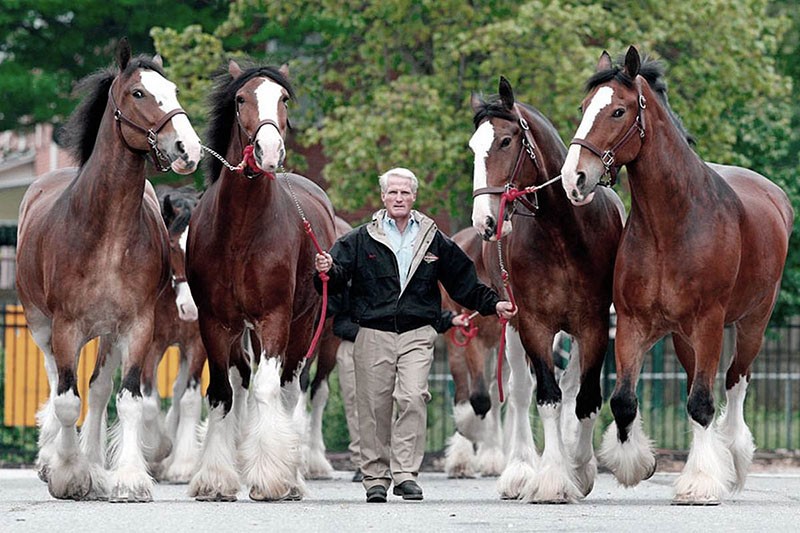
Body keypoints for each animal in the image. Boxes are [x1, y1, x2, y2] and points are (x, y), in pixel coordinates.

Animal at [15, 39, 202, 500]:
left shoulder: (136, 327)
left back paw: (96, 462)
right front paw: (67, 474)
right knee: (56, 381)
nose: (187, 149)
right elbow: (67, 401)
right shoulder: (66, 327)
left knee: (99, 392)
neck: (107, 235)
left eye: (172, 90)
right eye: (138, 93)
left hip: (107, 335)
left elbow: (128, 400)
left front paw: (129, 477)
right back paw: (55, 457)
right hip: (42, 325)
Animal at [186, 60, 336, 500]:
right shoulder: (215, 323)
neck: (240, 230)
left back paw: (293, 476)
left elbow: (268, 390)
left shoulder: (275, 318)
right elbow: (222, 393)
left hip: (304, 327)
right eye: (240, 99)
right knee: (241, 384)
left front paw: (271, 477)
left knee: (287, 389)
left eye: (283, 98)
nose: (270, 151)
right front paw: (215, 479)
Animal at [468, 77, 624, 500]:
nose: (484, 220)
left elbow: (585, 398)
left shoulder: (593, 324)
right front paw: (552, 477)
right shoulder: (533, 324)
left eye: (506, 141)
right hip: (510, 323)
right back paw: (520, 468)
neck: (563, 234)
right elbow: (546, 397)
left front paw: (580, 468)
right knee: (522, 390)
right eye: (472, 146)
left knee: (570, 386)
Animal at [564, 46, 792, 502]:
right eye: (583, 107)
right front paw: (637, 464)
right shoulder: (633, 324)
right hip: (687, 339)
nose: (573, 178)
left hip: (752, 323)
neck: (671, 225)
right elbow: (624, 400)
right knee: (695, 385)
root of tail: (776, 197)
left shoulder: (708, 323)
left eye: (618, 110)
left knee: (735, 382)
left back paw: (733, 461)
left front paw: (700, 483)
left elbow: (703, 402)